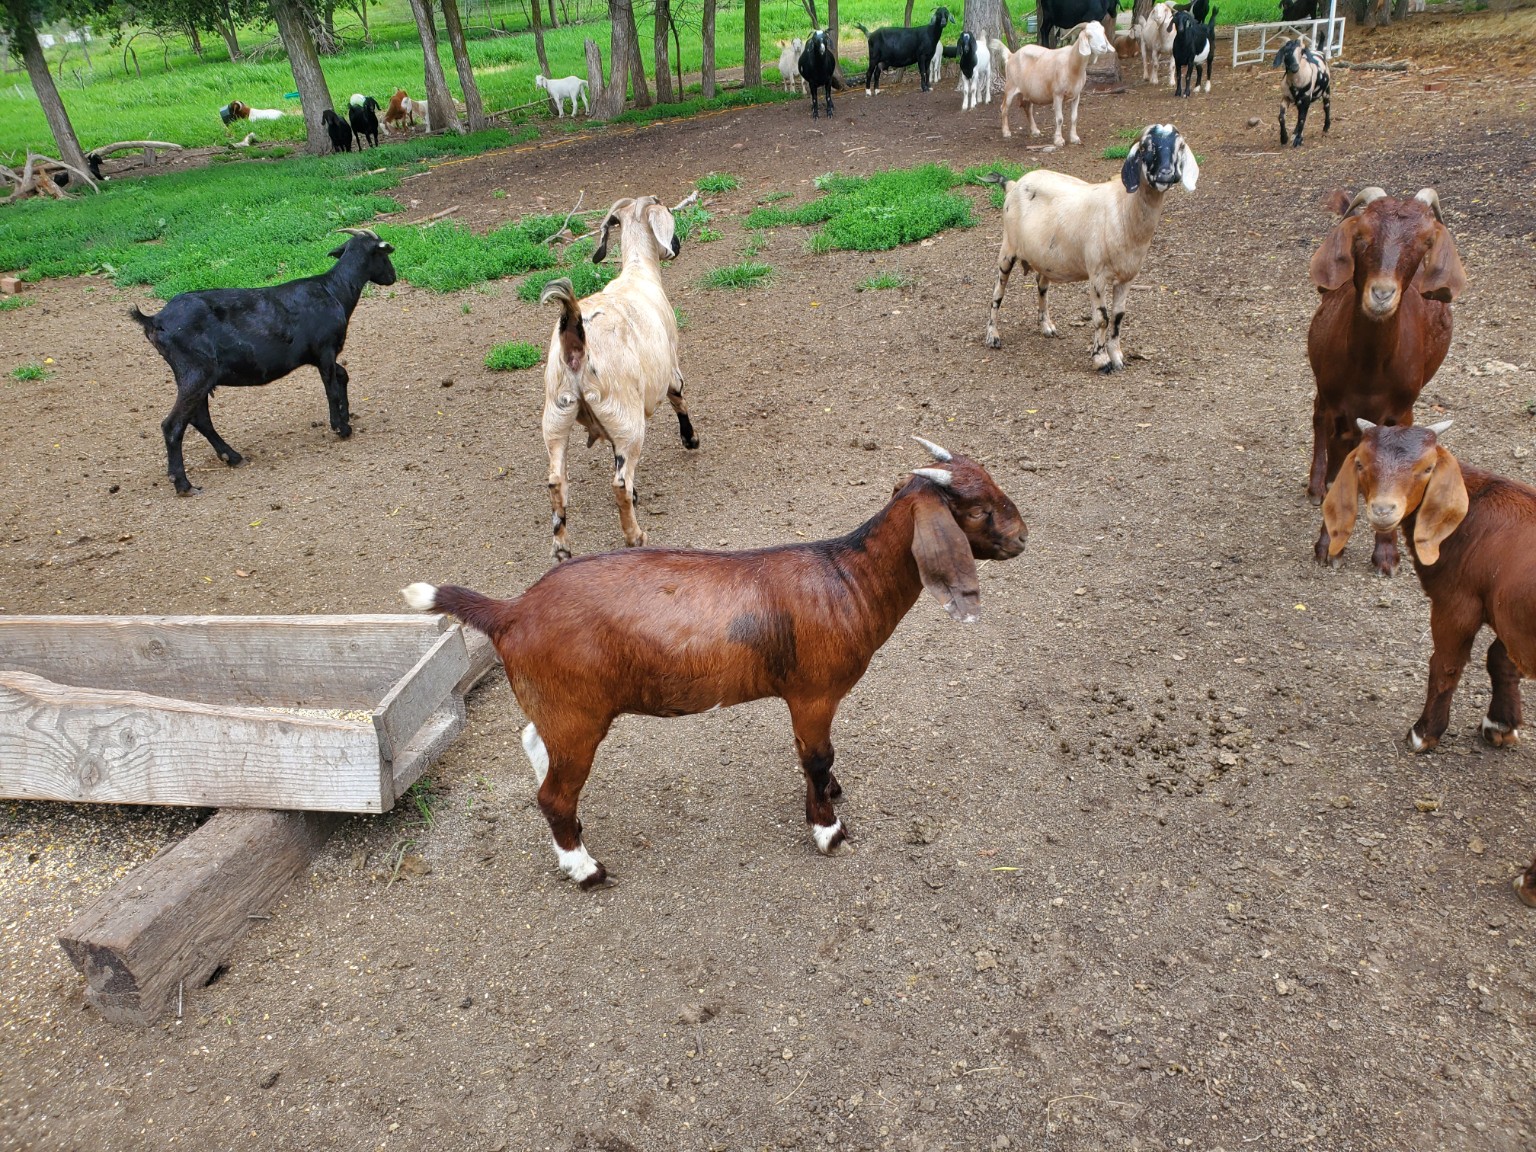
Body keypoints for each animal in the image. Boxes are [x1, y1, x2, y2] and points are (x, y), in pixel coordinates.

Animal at [128, 229, 396, 496]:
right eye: (384, 254)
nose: (393, 277)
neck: (333, 290)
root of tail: (154, 320)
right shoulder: (325, 350)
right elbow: (331, 388)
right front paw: (341, 427)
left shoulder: (318, 356)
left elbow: (342, 375)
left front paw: (346, 415)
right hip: (195, 372)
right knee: (173, 425)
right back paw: (184, 484)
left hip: (196, 376)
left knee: (199, 418)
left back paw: (232, 457)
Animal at [400, 437, 1027, 888]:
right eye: (979, 509)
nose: (1023, 538)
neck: (847, 579)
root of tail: (511, 611)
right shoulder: (814, 692)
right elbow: (817, 757)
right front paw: (828, 830)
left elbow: (816, 758)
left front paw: (830, 798)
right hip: (578, 714)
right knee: (553, 794)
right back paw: (585, 868)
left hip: (558, 706)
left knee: (535, 745)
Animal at [539, 196, 698, 561]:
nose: (677, 246)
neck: (638, 272)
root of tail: (576, 339)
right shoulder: (670, 367)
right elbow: (679, 397)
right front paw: (691, 439)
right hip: (627, 416)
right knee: (619, 481)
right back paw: (634, 535)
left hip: (556, 415)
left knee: (556, 481)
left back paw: (562, 548)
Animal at [984, 123, 1197, 372]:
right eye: (1145, 147)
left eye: (1180, 146)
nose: (1166, 174)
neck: (1122, 209)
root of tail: (1013, 184)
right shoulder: (1097, 274)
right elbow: (1102, 319)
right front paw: (1101, 360)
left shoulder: (1128, 277)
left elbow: (1118, 317)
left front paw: (1118, 357)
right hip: (1007, 247)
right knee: (998, 291)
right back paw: (993, 336)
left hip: (1046, 256)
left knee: (1041, 284)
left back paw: (1046, 325)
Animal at [1304, 186, 1467, 575]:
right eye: (1361, 237)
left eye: (1425, 242)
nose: (1381, 295)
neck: (1370, 369)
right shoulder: (1339, 406)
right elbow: (1340, 461)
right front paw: (1328, 545)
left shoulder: (1400, 411)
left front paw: (1386, 554)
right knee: (1318, 419)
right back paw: (1317, 485)